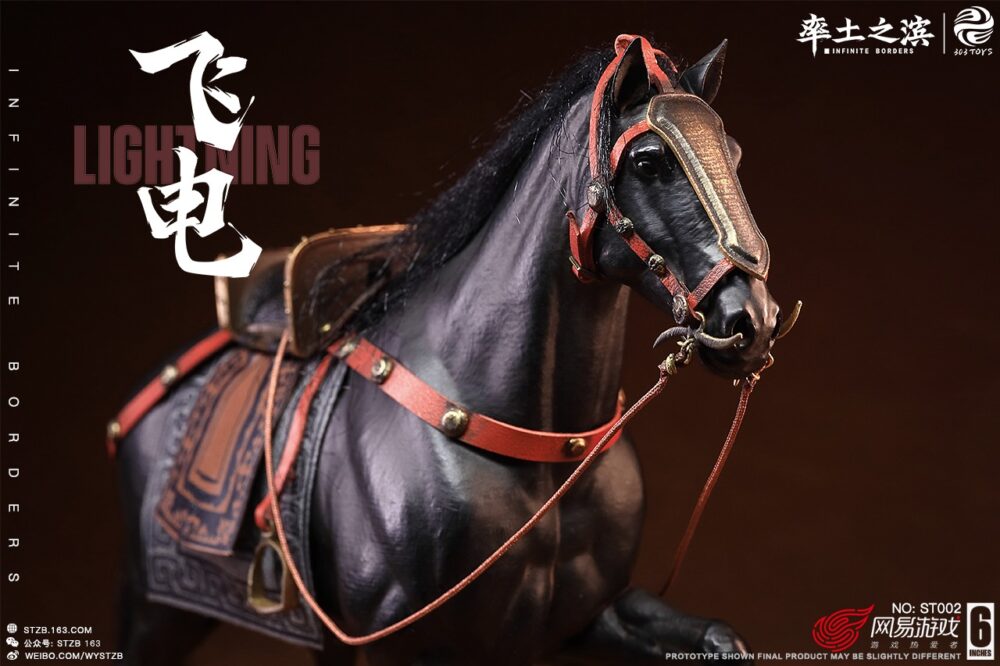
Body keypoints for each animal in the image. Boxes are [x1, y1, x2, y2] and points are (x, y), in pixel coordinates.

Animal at [114, 35, 792, 665]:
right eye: (651, 162)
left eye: (733, 156)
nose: (751, 322)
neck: (540, 456)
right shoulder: (400, 644)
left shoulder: (593, 618)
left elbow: (719, 636)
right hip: (157, 614)